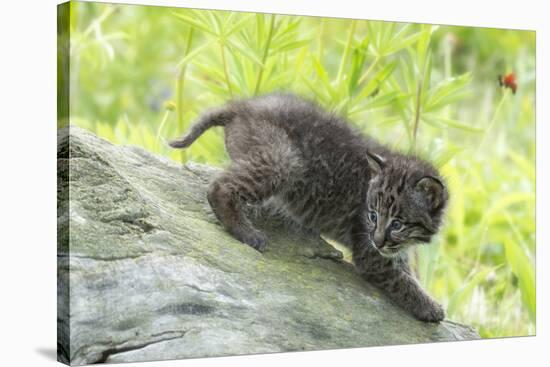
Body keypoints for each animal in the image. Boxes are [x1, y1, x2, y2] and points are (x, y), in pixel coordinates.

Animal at [170, 94, 450, 322]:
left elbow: (406, 271)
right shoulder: (371, 256)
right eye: (372, 215)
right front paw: (431, 308)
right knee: (219, 186)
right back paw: (247, 232)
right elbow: (403, 282)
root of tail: (243, 106)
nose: (378, 240)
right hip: (285, 160)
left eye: (397, 224)